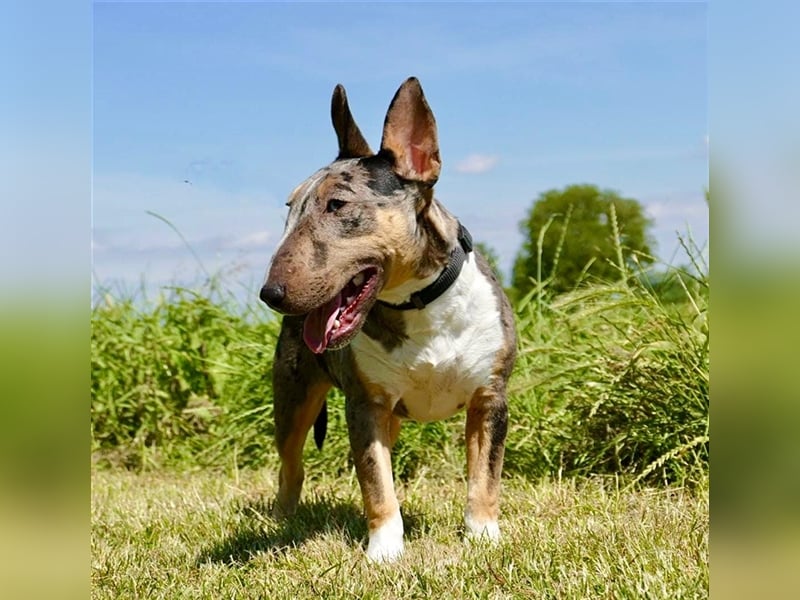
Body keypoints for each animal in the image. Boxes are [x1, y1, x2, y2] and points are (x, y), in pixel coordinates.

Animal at [260, 76, 516, 564]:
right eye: (288, 207)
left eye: (337, 205)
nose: (270, 294)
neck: (419, 304)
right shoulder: (366, 406)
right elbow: (376, 483)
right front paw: (384, 551)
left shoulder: (489, 399)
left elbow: (485, 475)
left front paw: (483, 536)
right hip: (293, 397)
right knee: (291, 464)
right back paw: (283, 519)